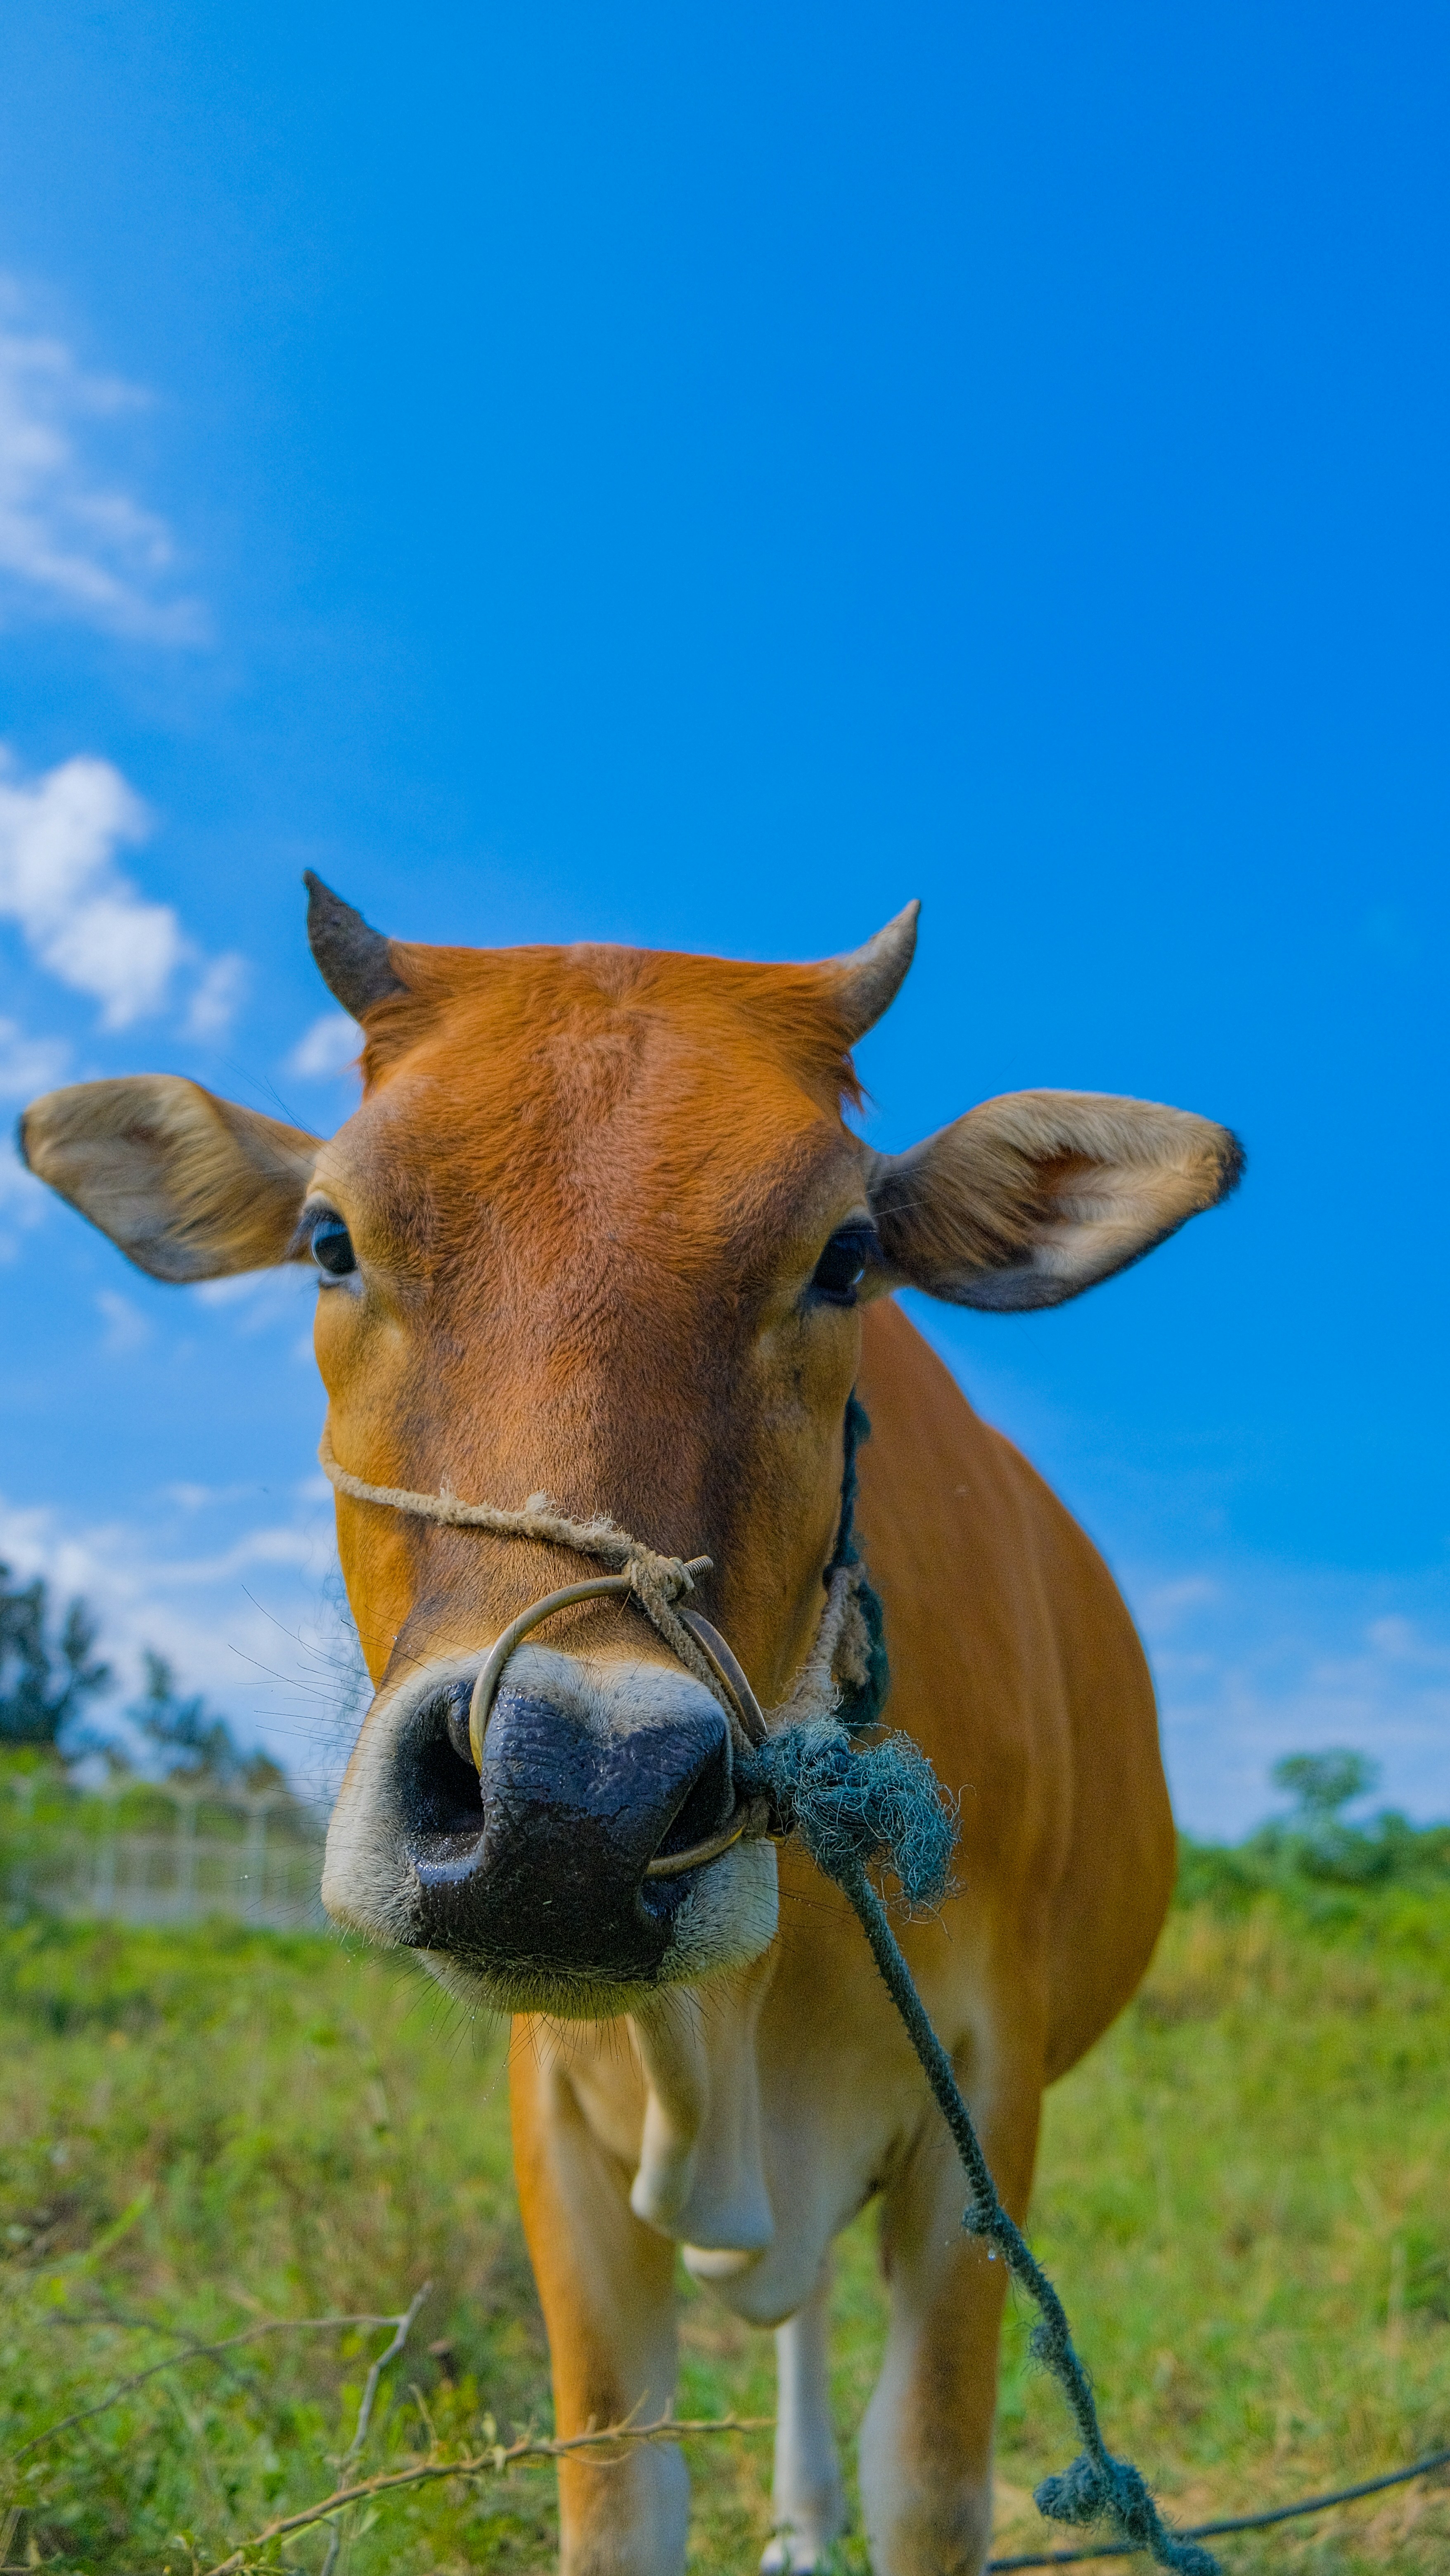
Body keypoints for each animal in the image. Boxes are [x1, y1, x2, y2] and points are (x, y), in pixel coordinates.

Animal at [20, 881, 1240, 2576]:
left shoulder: (983, 2112)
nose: (570, 1803)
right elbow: (616, 2486)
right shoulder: (556, 2129)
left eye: (847, 1255)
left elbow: (928, 2481)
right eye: (330, 1239)